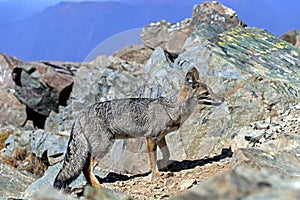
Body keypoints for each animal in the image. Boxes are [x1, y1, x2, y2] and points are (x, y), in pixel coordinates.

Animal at [52, 67, 224, 189]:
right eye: (206, 93)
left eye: (211, 91)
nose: (222, 99)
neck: (172, 108)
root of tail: (79, 115)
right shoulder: (150, 138)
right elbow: (152, 160)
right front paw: (157, 173)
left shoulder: (161, 137)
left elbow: (167, 154)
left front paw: (165, 167)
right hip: (103, 147)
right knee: (86, 168)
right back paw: (97, 185)